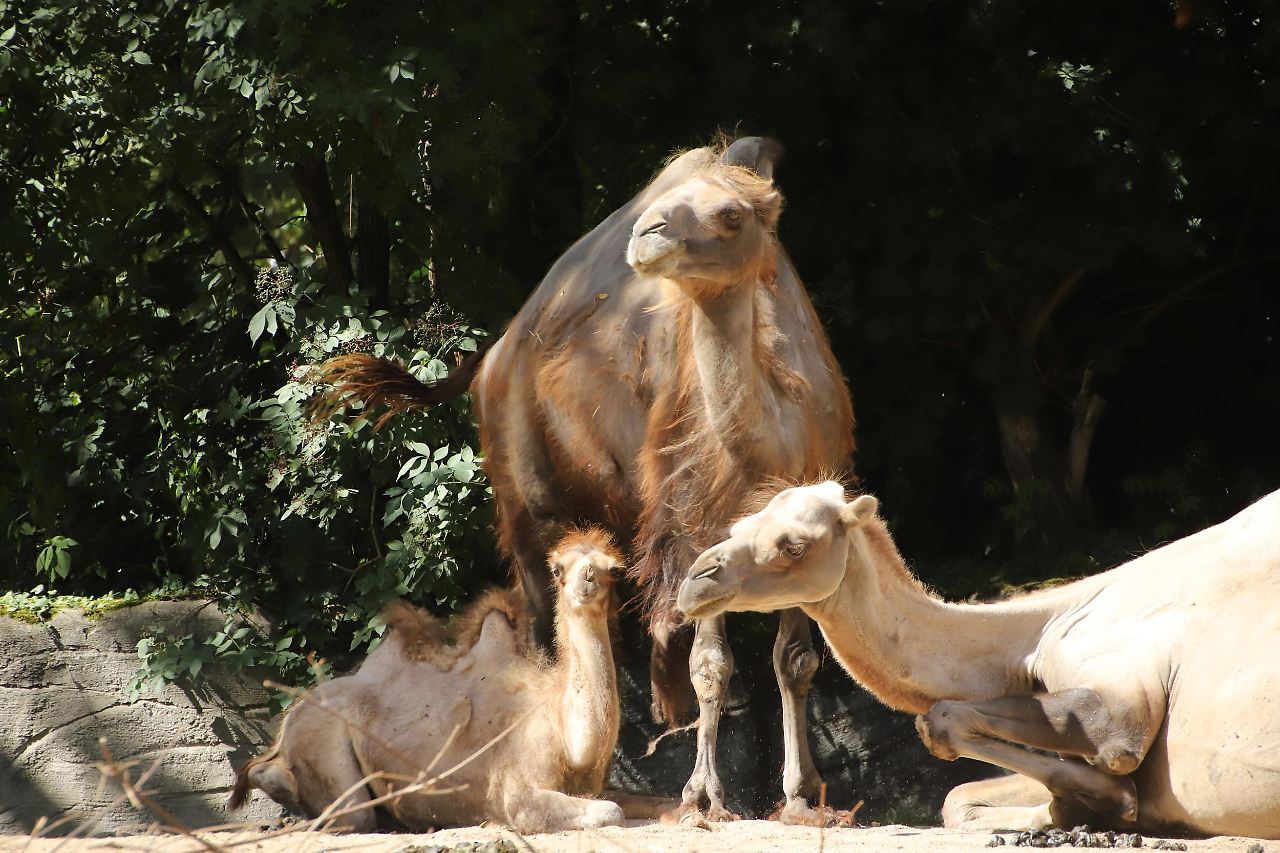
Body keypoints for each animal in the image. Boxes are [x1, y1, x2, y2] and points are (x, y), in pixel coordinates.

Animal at [229, 525, 665, 829]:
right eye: (558, 569)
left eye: (613, 570)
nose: (587, 578)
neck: (567, 733)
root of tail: (290, 720)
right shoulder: (519, 795)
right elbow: (610, 812)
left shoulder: (592, 785)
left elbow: (659, 801)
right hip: (324, 746)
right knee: (351, 815)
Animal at [311, 137, 855, 819]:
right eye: (668, 202)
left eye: (731, 214)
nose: (647, 233)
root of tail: (492, 356)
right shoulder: (700, 527)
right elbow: (711, 664)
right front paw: (704, 796)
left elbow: (797, 659)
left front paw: (802, 795)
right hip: (523, 491)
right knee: (537, 615)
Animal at [680, 481, 1280, 835]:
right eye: (738, 527)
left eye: (794, 545)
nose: (695, 580)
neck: (1033, 636)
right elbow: (956, 800)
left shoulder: (1120, 707)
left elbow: (941, 720)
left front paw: (1107, 803)